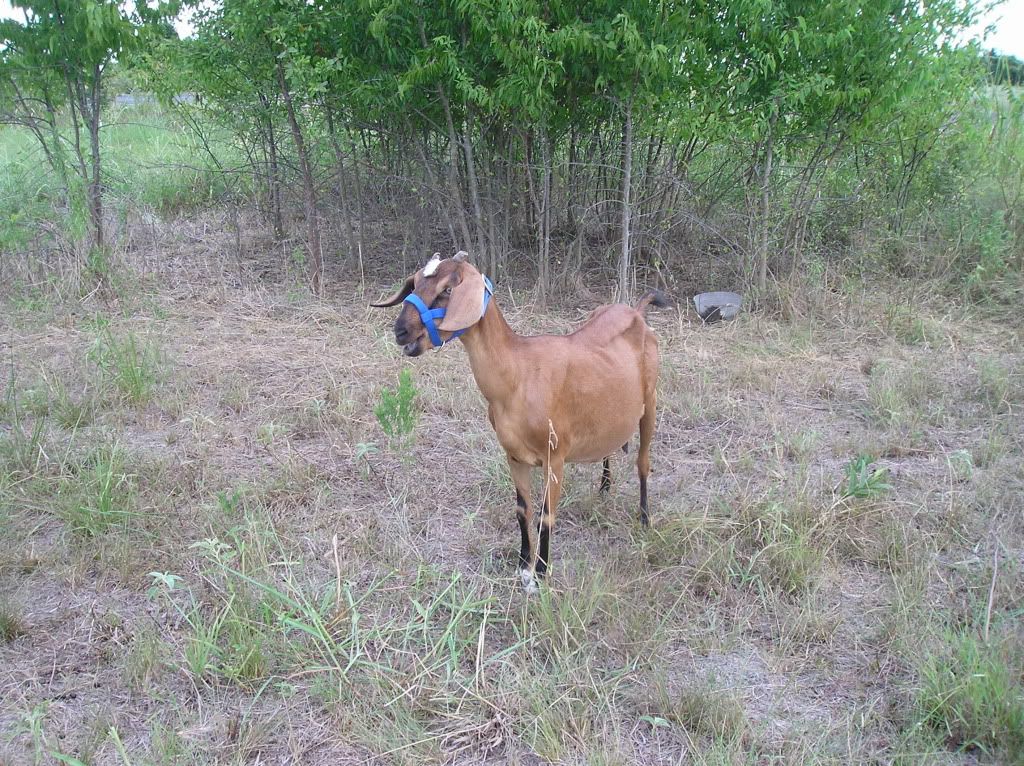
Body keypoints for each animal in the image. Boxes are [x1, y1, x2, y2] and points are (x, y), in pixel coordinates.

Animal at [371, 251, 669, 591]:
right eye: (416, 282)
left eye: (447, 289)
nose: (401, 331)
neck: (519, 376)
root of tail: (636, 312)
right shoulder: (513, 455)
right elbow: (521, 510)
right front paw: (522, 563)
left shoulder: (555, 456)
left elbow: (545, 516)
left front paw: (539, 574)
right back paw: (605, 486)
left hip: (650, 402)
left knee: (643, 462)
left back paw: (644, 519)